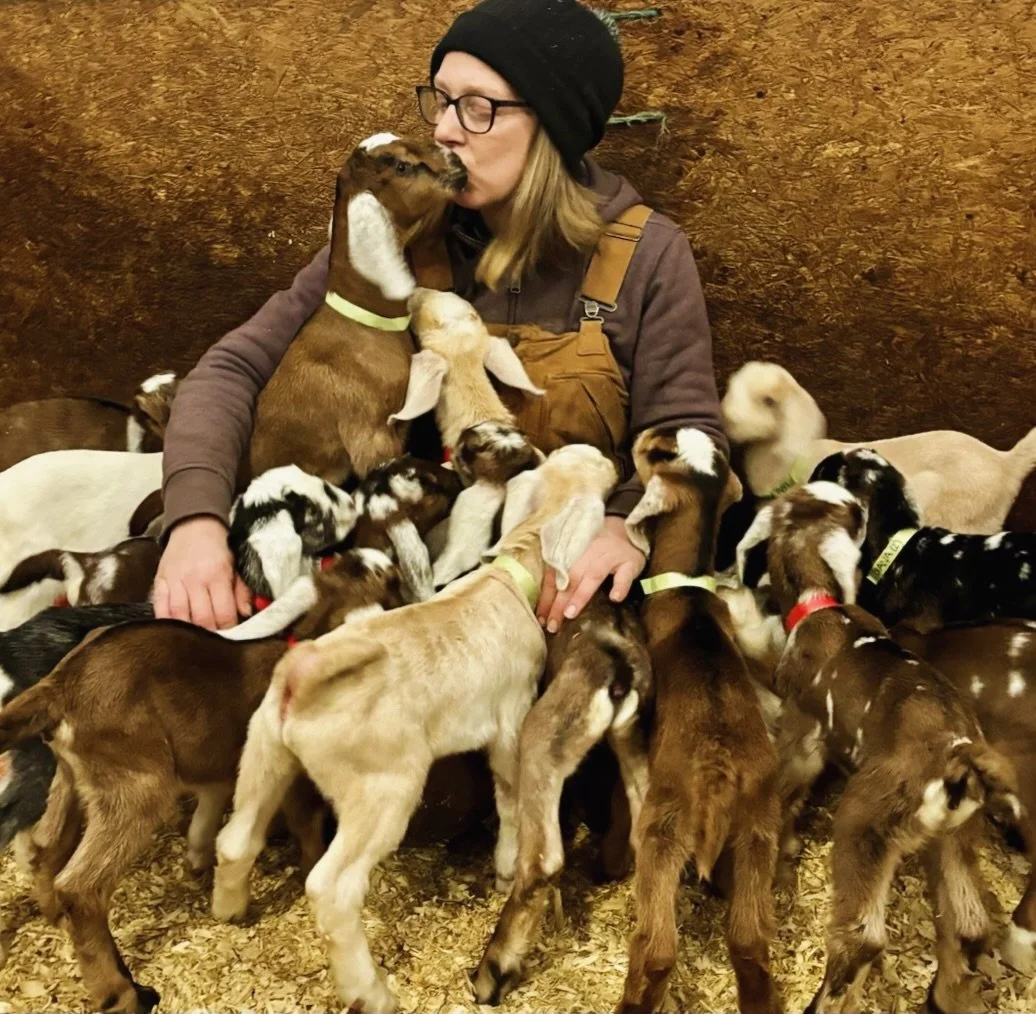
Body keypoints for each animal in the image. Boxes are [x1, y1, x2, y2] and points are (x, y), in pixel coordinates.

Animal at [208, 443, 617, 1014]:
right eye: (597, 481)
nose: (608, 458)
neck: (509, 576)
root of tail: (304, 678)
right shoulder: (511, 716)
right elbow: (510, 796)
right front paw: (505, 867)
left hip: (265, 751)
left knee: (235, 838)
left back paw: (230, 912)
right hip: (382, 789)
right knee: (331, 889)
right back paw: (371, 992)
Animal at [609, 426, 782, 1014]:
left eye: (657, 453)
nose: (641, 434)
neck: (686, 589)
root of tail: (717, 774)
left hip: (662, 830)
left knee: (659, 946)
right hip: (757, 829)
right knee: (749, 939)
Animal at [735, 482, 1021, 1014]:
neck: (820, 606)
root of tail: (957, 758)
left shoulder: (805, 731)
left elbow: (789, 785)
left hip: (865, 822)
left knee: (863, 938)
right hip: (956, 835)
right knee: (968, 923)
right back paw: (947, 997)